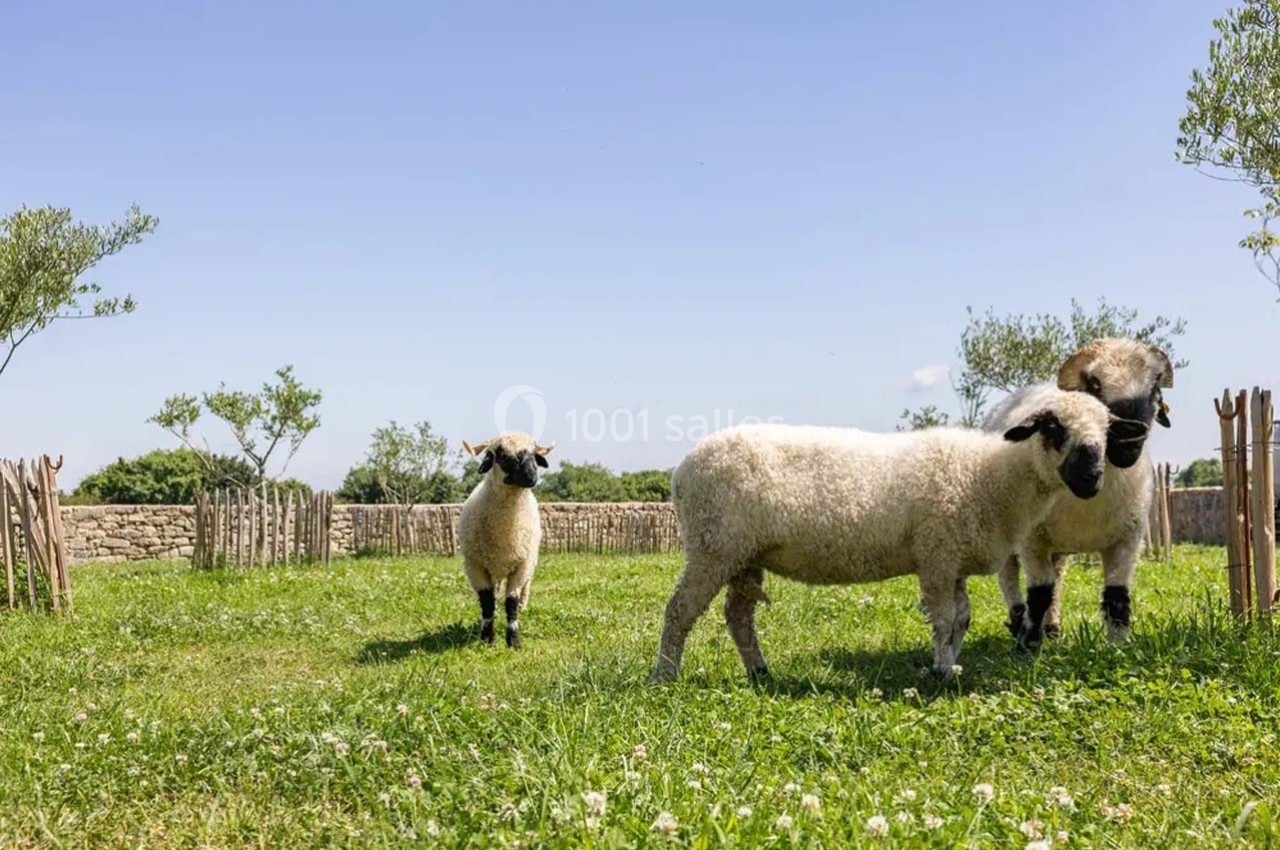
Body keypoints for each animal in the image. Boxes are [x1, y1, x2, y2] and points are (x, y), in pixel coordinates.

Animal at [459, 432, 554, 648]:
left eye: (533, 454)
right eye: (501, 455)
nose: (531, 476)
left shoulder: (522, 567)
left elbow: (511, 602)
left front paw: (514, 641)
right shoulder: (475, 566)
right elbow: (487, 602)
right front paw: (487, 639)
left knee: (521, 593)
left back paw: (522, 605)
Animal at [652, 389, 1121, 683]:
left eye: (1106, 432)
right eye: (1053, 427)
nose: (1092, 478)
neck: (989, 475)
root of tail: (681, 470)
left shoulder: (952, 559)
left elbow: (962, 618)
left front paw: (951, 665)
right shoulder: (936, 552)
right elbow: (945, 618)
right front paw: (940, 671)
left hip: (743, 555)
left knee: (738, 617)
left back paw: (760, 672)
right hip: (712, 545)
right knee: (679, 611)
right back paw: (665, 675)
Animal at [982, 338, 1173, 650]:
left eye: (1155, 383)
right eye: (1094, 383)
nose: (1131, 437)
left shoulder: (1128, 539)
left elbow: (1117, 597)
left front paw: (1118, 647)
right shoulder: (1032, 540)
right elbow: (1039, 594)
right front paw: (1028, 646)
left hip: (1058, 547)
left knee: (1057, 577)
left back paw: (1052, 628)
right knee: (1009, 578)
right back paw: (1019, 622)